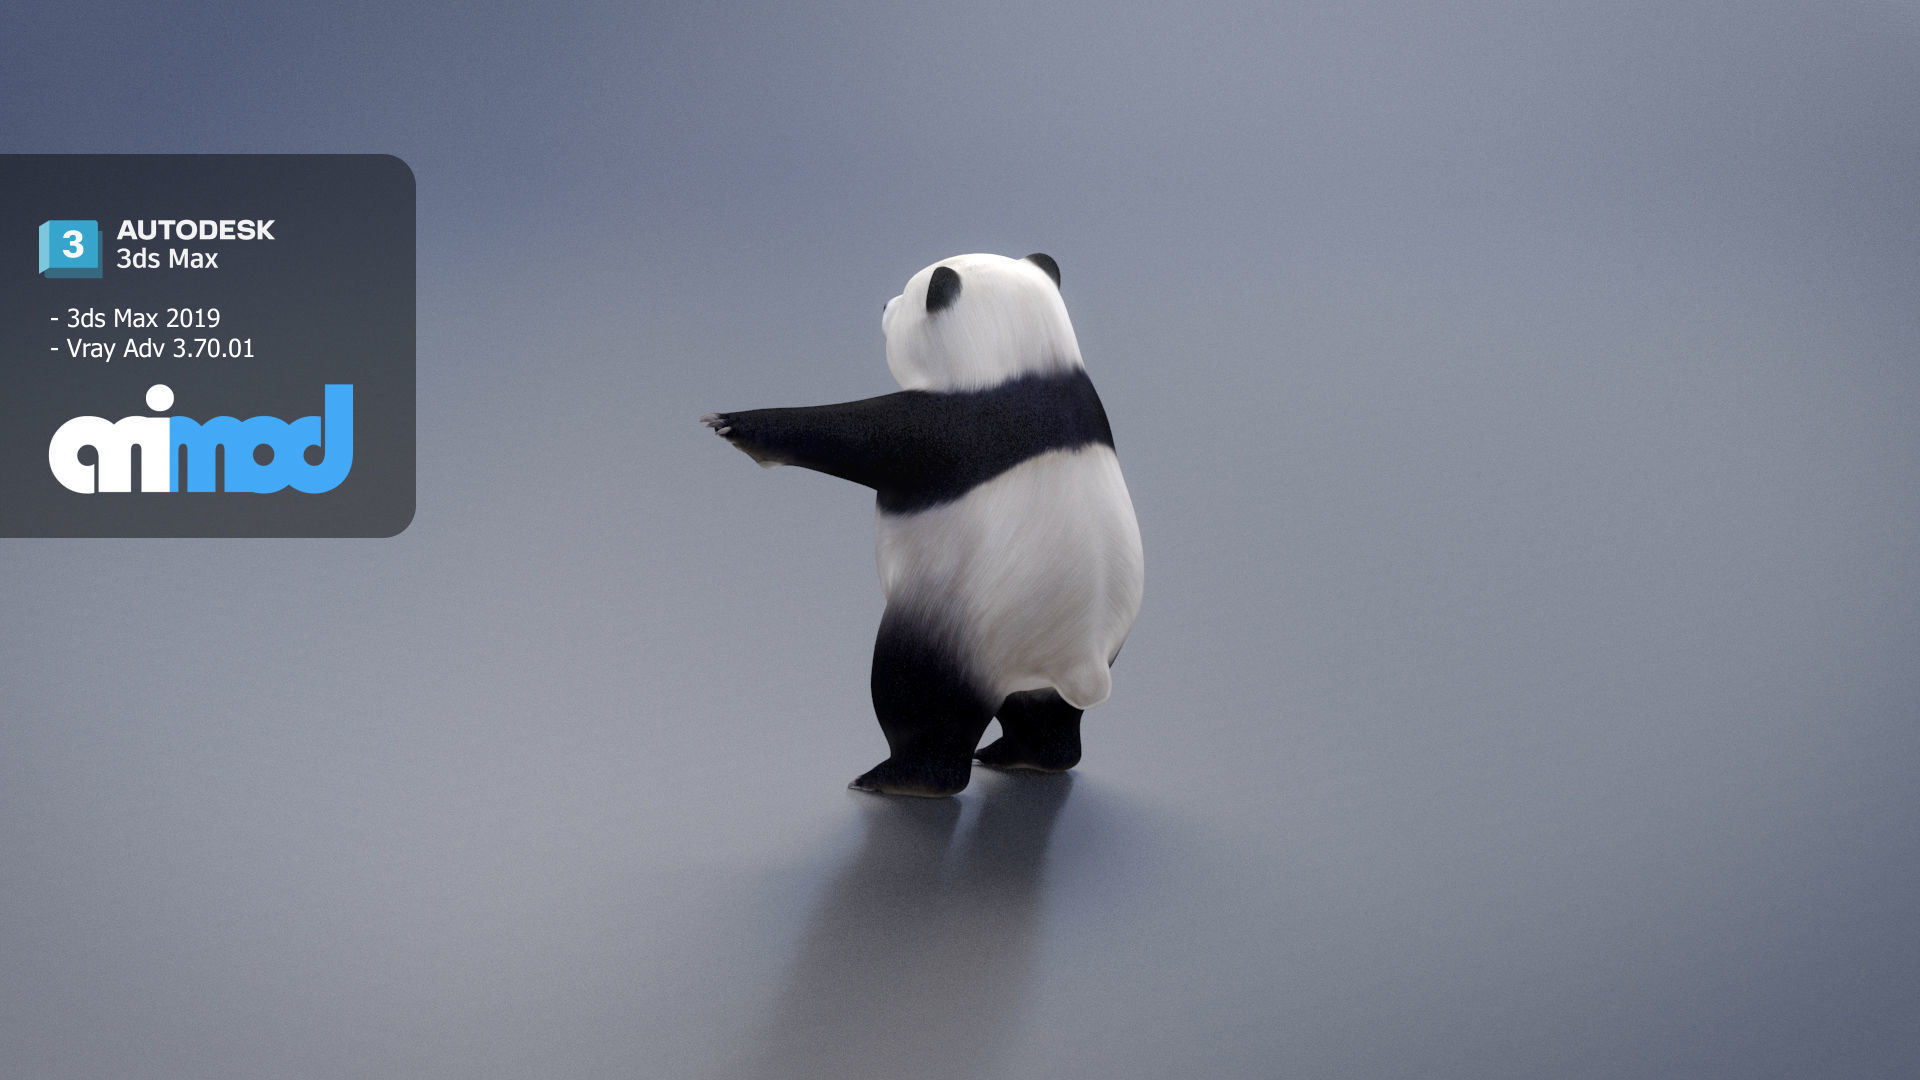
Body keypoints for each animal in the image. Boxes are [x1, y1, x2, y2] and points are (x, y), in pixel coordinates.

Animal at [702, 252, 1144, 797]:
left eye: (907, 297)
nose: (884, 304)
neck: (1026, 359)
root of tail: (1077, 662)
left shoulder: (958, 427)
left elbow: (866, 433)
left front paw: (739, 425)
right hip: (1096, 643)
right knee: (1046, 714)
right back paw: (1024, 757)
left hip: (960, 630)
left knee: (919, 701)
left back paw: (903, 778)